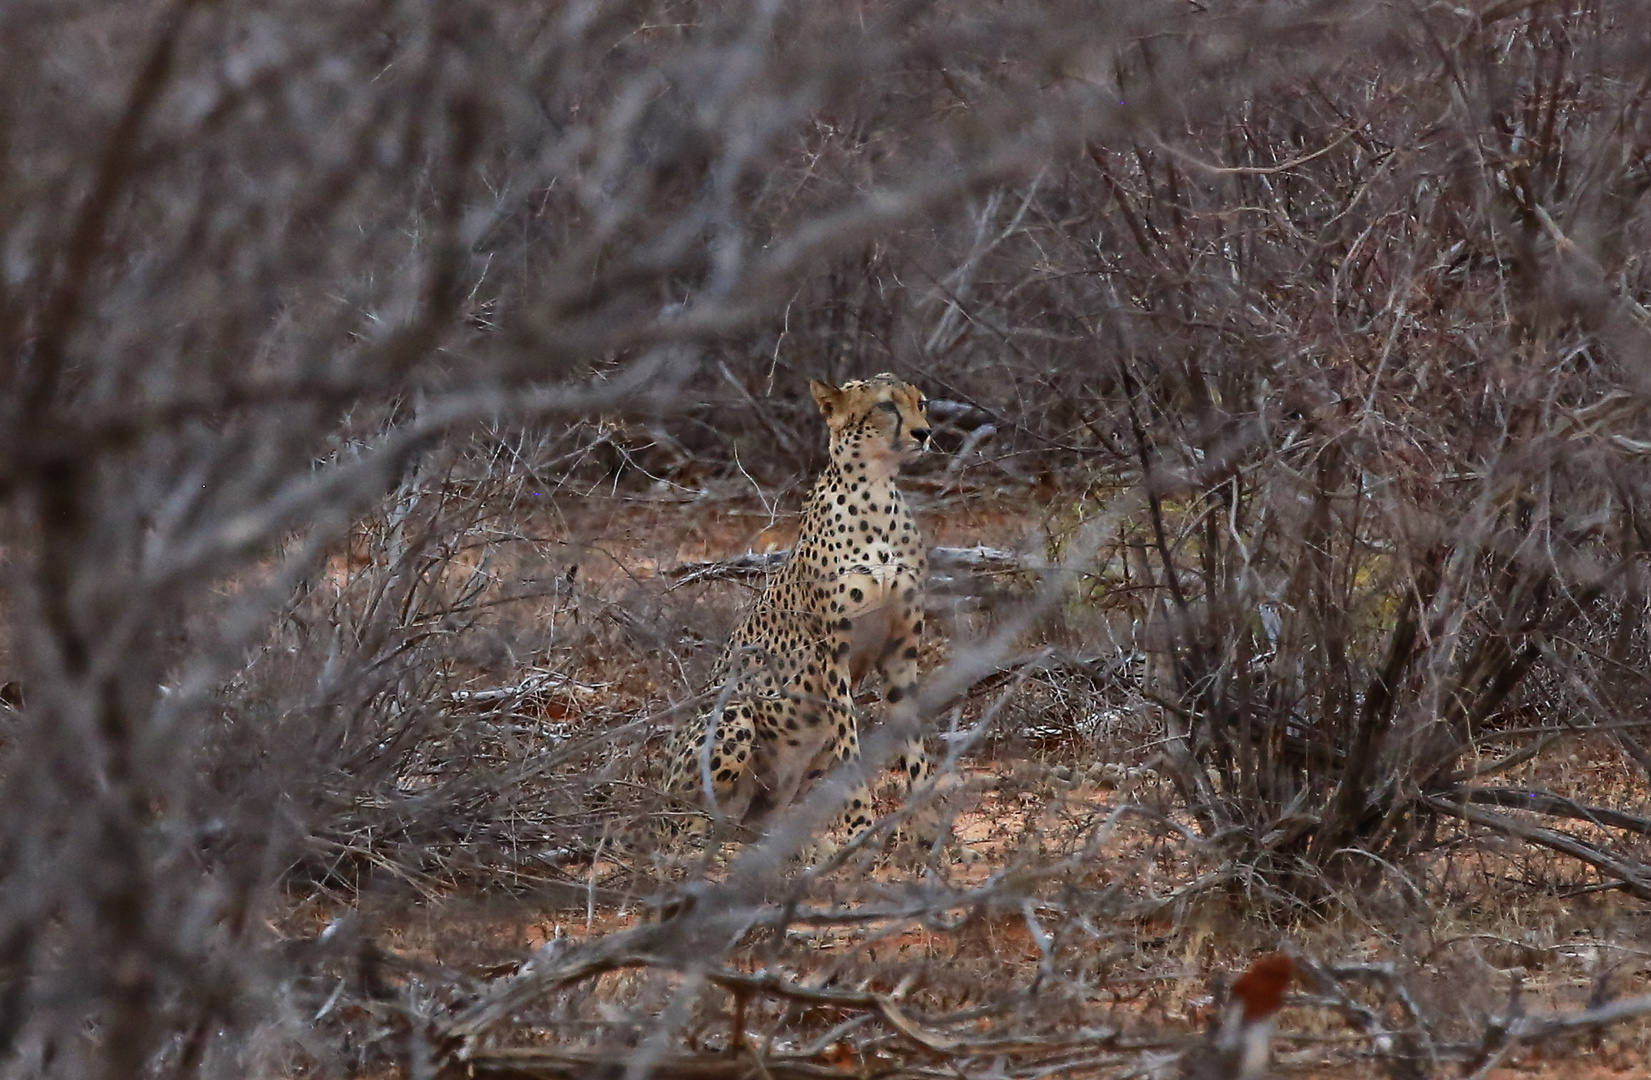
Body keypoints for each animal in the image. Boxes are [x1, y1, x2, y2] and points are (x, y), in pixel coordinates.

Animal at [660, 376, 944, 858]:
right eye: (887, 406)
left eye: (921, 403)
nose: (924, 433)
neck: (877, 495)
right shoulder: (833, 657)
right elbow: (852, 754)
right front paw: (860, 833)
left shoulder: (901, 652)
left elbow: (915, 750)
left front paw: (932, 835)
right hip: (734, 715)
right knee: (688, 827)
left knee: (756, 824)